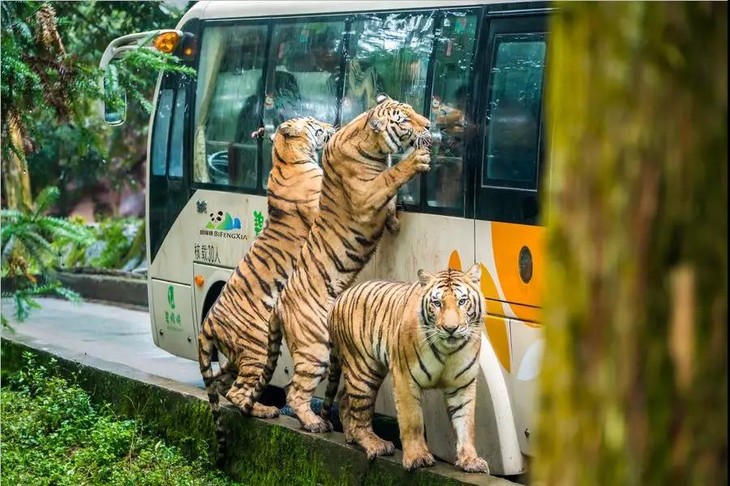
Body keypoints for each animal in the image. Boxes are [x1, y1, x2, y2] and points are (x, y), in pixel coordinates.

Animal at [199, 117, 336, 444]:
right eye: (314, 123)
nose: (332, 126)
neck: (287, 158)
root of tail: (207, 323)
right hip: (257, 347)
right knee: (238, 391)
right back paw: (265, 410)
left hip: (238, 355)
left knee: (223, 384)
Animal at [236, 95, 432, 432]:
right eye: (405, 119)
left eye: (413, 110)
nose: (430, 125)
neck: (374, 145)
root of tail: (279, 306)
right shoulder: (367, 194)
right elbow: (391, 179)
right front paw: (416, 161)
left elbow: (391, 202)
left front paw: (394, 221)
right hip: (315, 348)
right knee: (294, 391)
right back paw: (314, 423)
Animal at [320, 264, 486, 472]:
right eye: (437, 303)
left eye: (462, 301)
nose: (450, 329)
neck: (447, 350)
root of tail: (339, 298)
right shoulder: (404, 377)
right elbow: (412, 420)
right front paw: (417, 457)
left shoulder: (463, 384)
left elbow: (466, 423)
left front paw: (471, 460)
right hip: (363, 370)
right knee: (360, 415)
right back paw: (376, 445)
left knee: (344, 398)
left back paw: (350, 437)